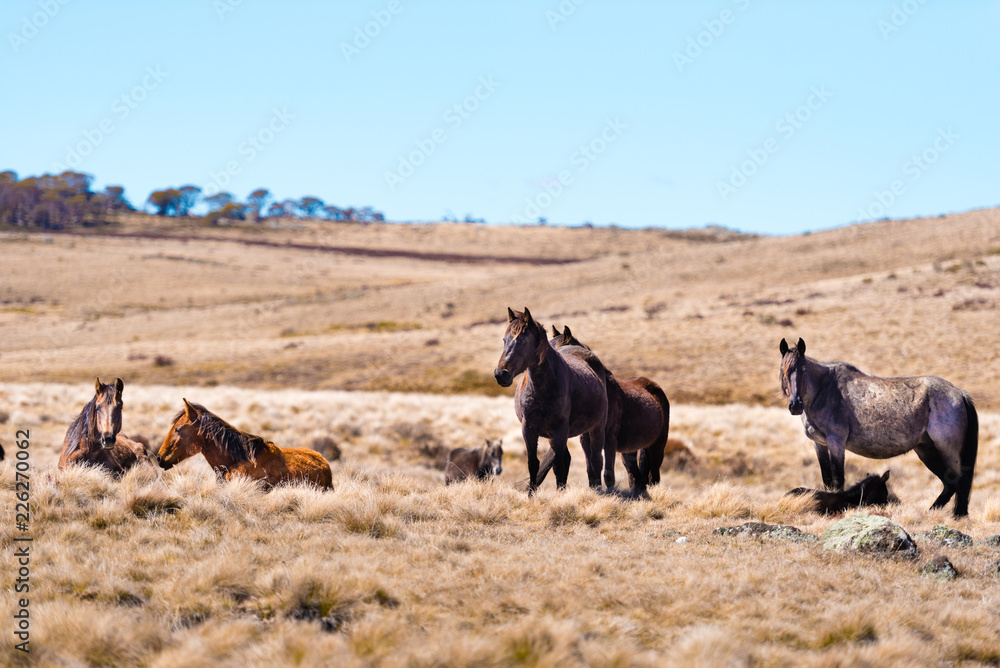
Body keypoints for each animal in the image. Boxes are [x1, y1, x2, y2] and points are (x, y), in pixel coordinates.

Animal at [494, 310, 608, 494]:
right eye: (504, 340)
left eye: (523, 341)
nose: (500, 374)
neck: (542, 388)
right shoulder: (529, 430)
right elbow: (534, 464)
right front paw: (531, 496)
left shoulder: (560, 430)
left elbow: (559, 465)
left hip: (596, 428)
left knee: (596, 460)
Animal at [536, 324, 668, 496]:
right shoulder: (585, 439)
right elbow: (590, 469)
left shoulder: (610, 438)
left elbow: (608, 473)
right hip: (630, 450)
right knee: (635, 476)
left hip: (658, 445)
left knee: (654, 476)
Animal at [776, 340, 980, 516]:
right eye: (782, 371)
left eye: (803, 370)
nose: (795, 405)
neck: (824, 391)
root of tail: (960, 394)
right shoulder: (820, 444)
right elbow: (827, 480)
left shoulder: (836, 442)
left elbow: (838, 480)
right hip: (926, 450)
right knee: (949, 484)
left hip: (948, 450)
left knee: (958, 481)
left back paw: (957, 515)